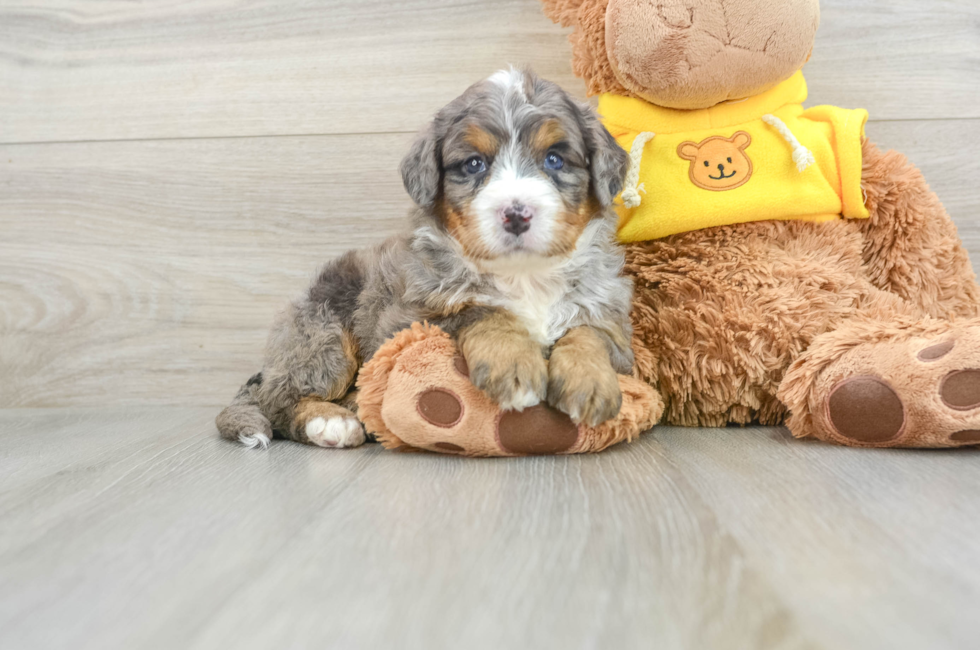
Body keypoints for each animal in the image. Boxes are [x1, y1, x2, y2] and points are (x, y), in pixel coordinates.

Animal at [217, 68, 632, 448]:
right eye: (474, 164)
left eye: (554, 159)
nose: (516, 214)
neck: (524, 276)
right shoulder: (410, 319)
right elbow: (482, 310)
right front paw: (513, 364)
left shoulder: (615, 326)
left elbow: (589, 331)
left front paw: (589, 381)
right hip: (324, 333)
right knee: (280, 399)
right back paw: (331, 421)